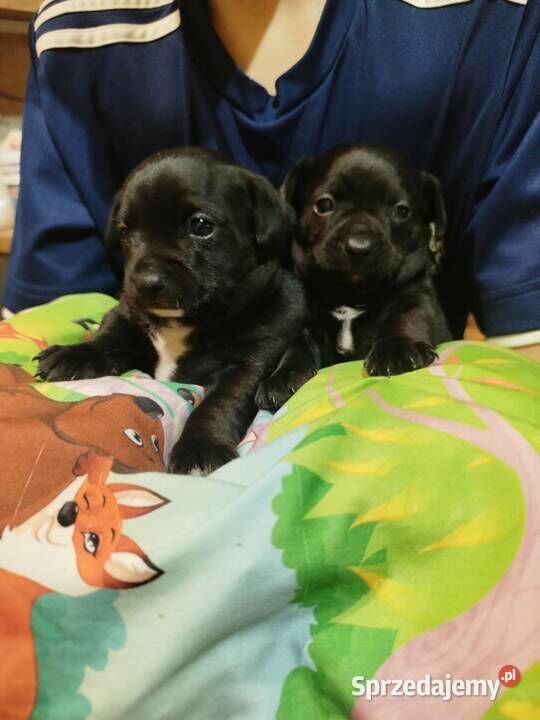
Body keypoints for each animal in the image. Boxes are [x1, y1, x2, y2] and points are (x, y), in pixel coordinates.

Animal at [37, 147, 305, 474]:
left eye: (201, 226)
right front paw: (75, 355)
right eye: (125, 231)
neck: (184, 323)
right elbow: (110, 335)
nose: (145, 282)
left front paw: (199, 447)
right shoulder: (126, 314)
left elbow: (220, 402)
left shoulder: (248, 363)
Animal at [256, 143, 451, 411]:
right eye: (323, 205)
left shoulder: (415, 298)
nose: (359, 246)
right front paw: (282, 377)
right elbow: (297, 346)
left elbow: (407, 319)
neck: (350, 296)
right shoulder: (306, 322)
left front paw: (397, 350)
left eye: (402, 211)